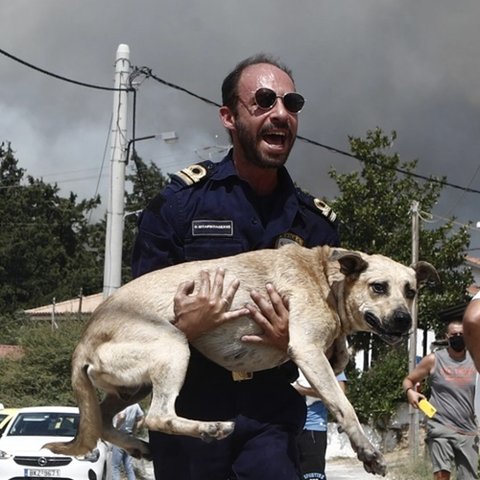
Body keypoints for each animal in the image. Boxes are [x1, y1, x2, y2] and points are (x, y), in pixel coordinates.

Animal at [45, 244, 438, 476]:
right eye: (378, 287)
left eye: (411, 291)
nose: (404, 321)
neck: (325, 278)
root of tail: (83, 340)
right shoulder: (307, 348)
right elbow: (344, 405)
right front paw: (367, 452)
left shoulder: (319, 347)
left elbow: (339, 359)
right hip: (173, 346)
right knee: (157, 416)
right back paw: (210, 429)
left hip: (132, 385)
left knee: (105, 421)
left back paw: (138, 446)